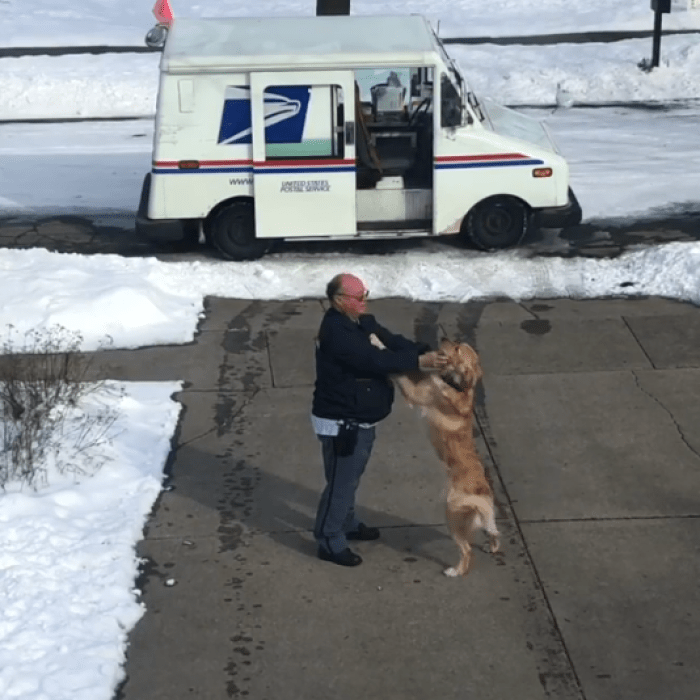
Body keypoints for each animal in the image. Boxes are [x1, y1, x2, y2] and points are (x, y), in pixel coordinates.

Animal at [370, 336, 500, 576]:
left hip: (451, 515)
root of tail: (482, 492)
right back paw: (492, 547)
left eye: (456, 348)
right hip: (485, 516)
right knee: (494, 531)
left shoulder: (416, 392)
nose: (443, 338)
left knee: (467, 550)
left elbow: (396, 369)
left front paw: (376, 341)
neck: (457, 386)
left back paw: (455, 571)